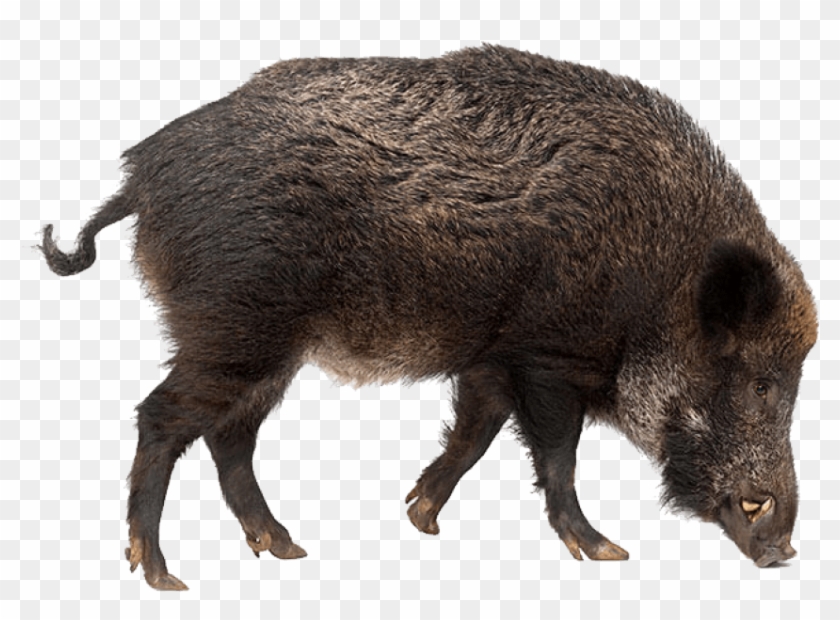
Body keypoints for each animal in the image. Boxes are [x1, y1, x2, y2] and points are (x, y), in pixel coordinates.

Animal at [39, 45, 818, 590]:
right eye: (761, 383)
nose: (783, 549)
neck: (661, 278)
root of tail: (140, 181)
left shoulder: (492, 361)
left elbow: (474, 435)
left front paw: (420, 517)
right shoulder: (547, 357)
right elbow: (556, 454)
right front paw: (607, 552)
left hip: (267, 347)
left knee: (230, 436)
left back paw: (286, 548)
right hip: (235, 326)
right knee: (163, 418)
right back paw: (163, 575)